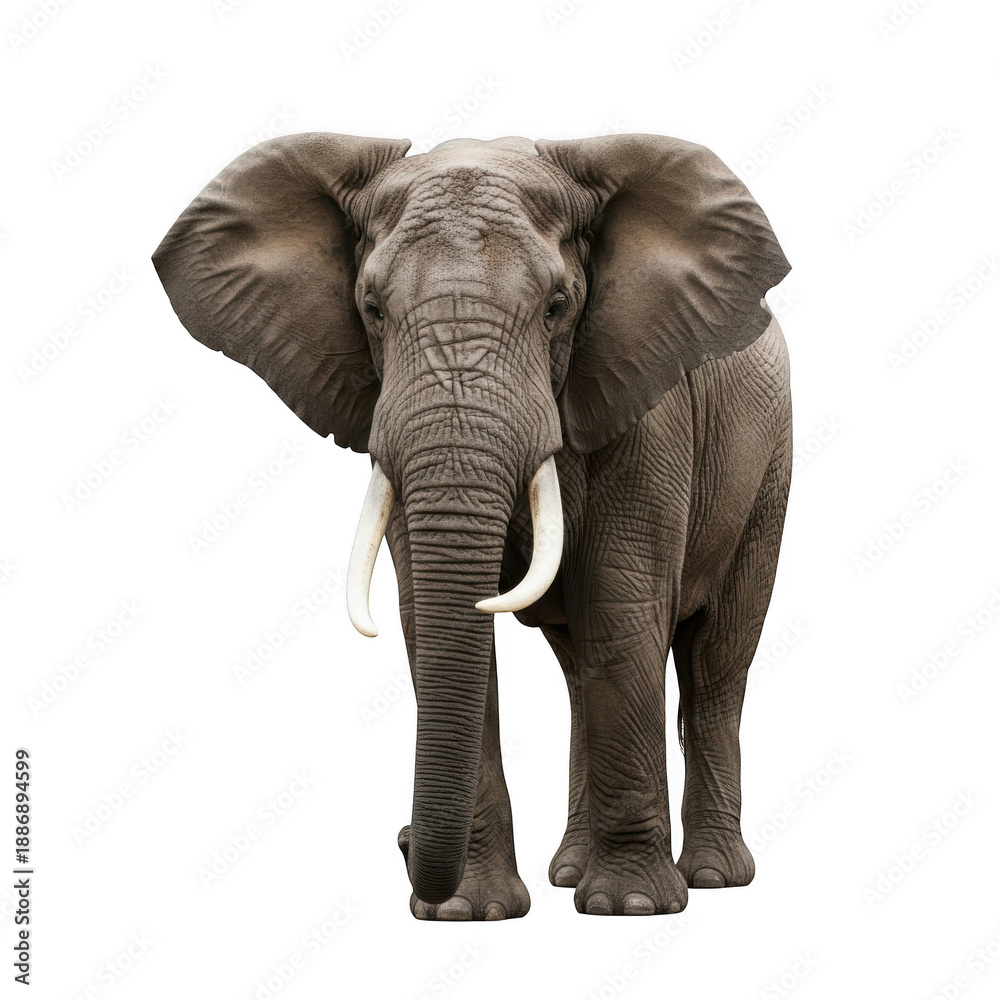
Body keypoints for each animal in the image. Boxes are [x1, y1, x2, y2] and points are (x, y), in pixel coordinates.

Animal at [152, 131, 792, 920]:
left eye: (557, 306)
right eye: (371, 308)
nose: (399, 840)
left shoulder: (647, 405)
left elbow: (621, 601)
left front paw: (631, 907)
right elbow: (436, 622)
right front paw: (466, 913)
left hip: (768, 467)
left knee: (716, 660)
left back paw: (711, 878)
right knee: (580, 670)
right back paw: (568, 874)